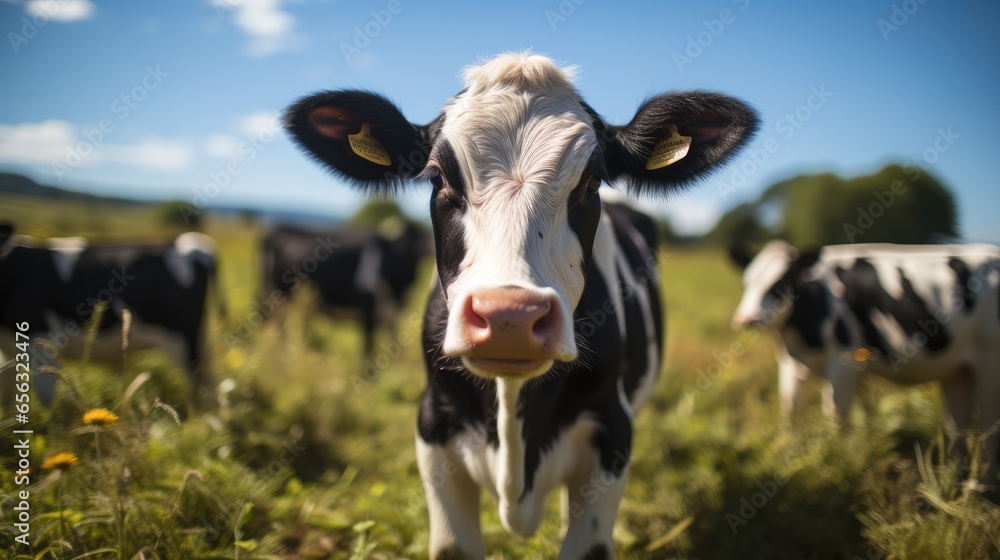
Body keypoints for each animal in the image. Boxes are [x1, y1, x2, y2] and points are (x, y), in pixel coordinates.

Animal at [0, 225, 223, 410]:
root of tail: (191, 243)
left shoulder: (41, 343)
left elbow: (48, 399)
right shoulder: (9, 352)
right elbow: (7, 397)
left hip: (184, 340)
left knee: (204, 385)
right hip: (199, 339)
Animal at [260, 219, 428, 354]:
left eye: (418, 244)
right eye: (403, 246)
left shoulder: (390, 316)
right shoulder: (367, 312)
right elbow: (367, 350)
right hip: (277, 294)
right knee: (279, 323)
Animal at [728, 238, 1000, 488]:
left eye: (780, 283)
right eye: (747, 282)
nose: (745, 320)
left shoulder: (844, 361)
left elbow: (835, 415)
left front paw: (834, 467)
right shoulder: (792, 364)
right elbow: (790, 409)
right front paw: (787, 457)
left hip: (990, 363)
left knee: (989, 429)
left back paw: (982, 485)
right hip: (958, 372)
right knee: (959, 427)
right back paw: (953, 480)